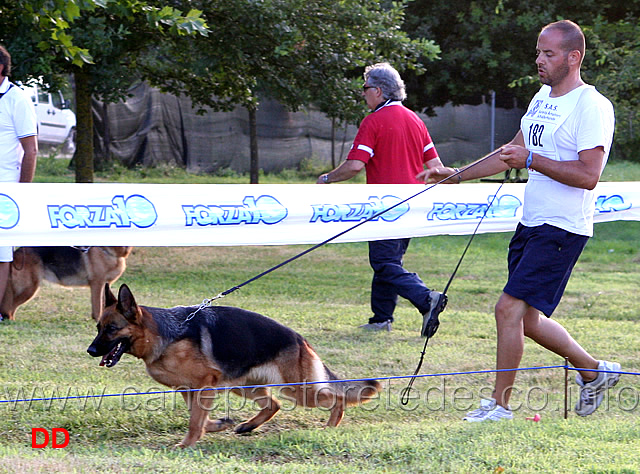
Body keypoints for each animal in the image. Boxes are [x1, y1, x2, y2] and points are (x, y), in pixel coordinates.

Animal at [0, 246, 132, 320]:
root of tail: (15, 253)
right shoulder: (97, 284)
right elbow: (97, 309)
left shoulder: (105, 285)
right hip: (29, 288)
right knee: (9, 308)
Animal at [87, 286, 382, 448]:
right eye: (98, 327)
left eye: (111, 329)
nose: (90, 351)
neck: (162, 334)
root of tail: (300, 339)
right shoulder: (189, 389)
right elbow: (198, 417)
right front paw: (218, 425)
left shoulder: (204, 384)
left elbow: (195, 420)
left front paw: (187, 443)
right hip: (246, 387)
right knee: (273, 405)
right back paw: (247, 426)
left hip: (297, 389)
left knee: (336, 399)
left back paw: (330, 426)